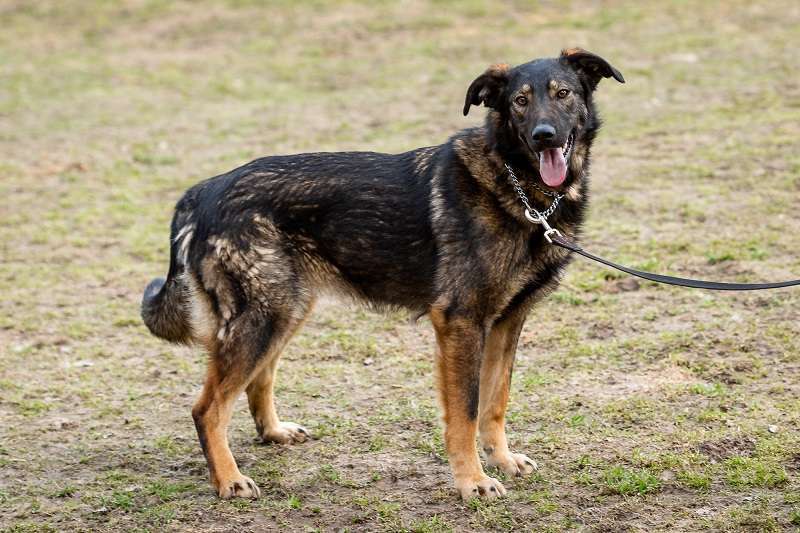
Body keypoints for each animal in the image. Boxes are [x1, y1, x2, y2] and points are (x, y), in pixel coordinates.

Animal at [139, 47, 624, 500]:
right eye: (520, 102)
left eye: (563, 94)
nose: (544, 137)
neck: (516, 184)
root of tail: (205, 190)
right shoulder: (460, 323)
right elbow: (465, 411)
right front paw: (472, 481)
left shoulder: (506, 324)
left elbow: (495, 402)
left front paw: (501, 460)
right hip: (262, 317)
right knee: (208, 408)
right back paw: (228, 479)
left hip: (285, 311)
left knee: (258, 378)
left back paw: (273, 432)